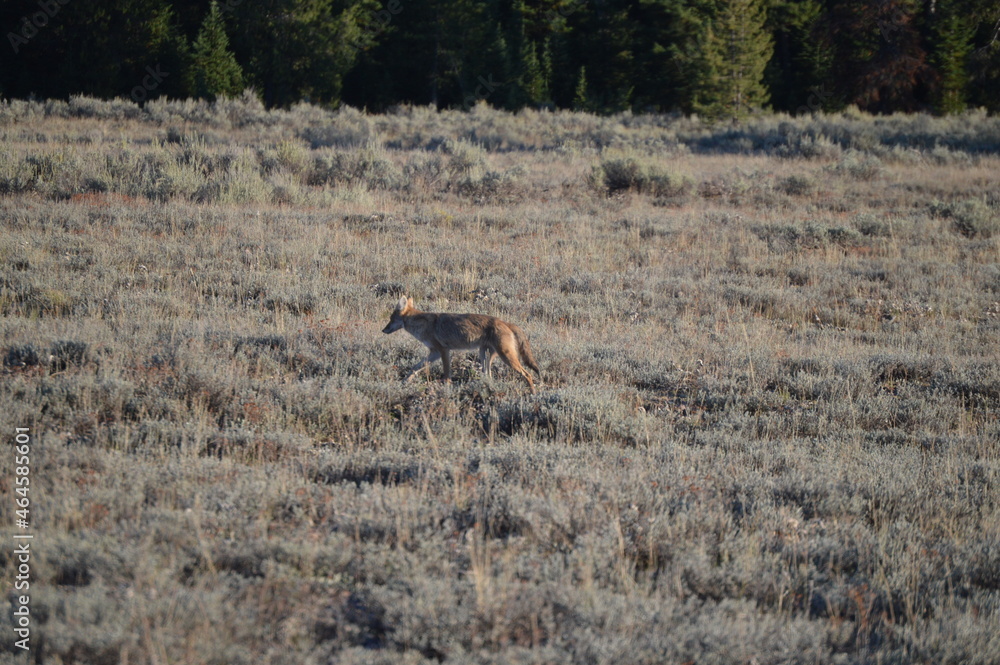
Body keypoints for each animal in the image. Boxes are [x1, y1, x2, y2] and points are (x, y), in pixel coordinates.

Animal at [382, 296, 541, 393]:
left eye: (391, 319)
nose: (383, 330)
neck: (423, 325)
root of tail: (505, 322)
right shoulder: (434, 353)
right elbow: (415, 368)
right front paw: (404, 382)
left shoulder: (443, 351)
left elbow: (446, 374)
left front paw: (446, 389)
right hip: (484, 356)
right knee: (488, 376)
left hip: (506, 357)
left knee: (527, 374)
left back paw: (533, 393)